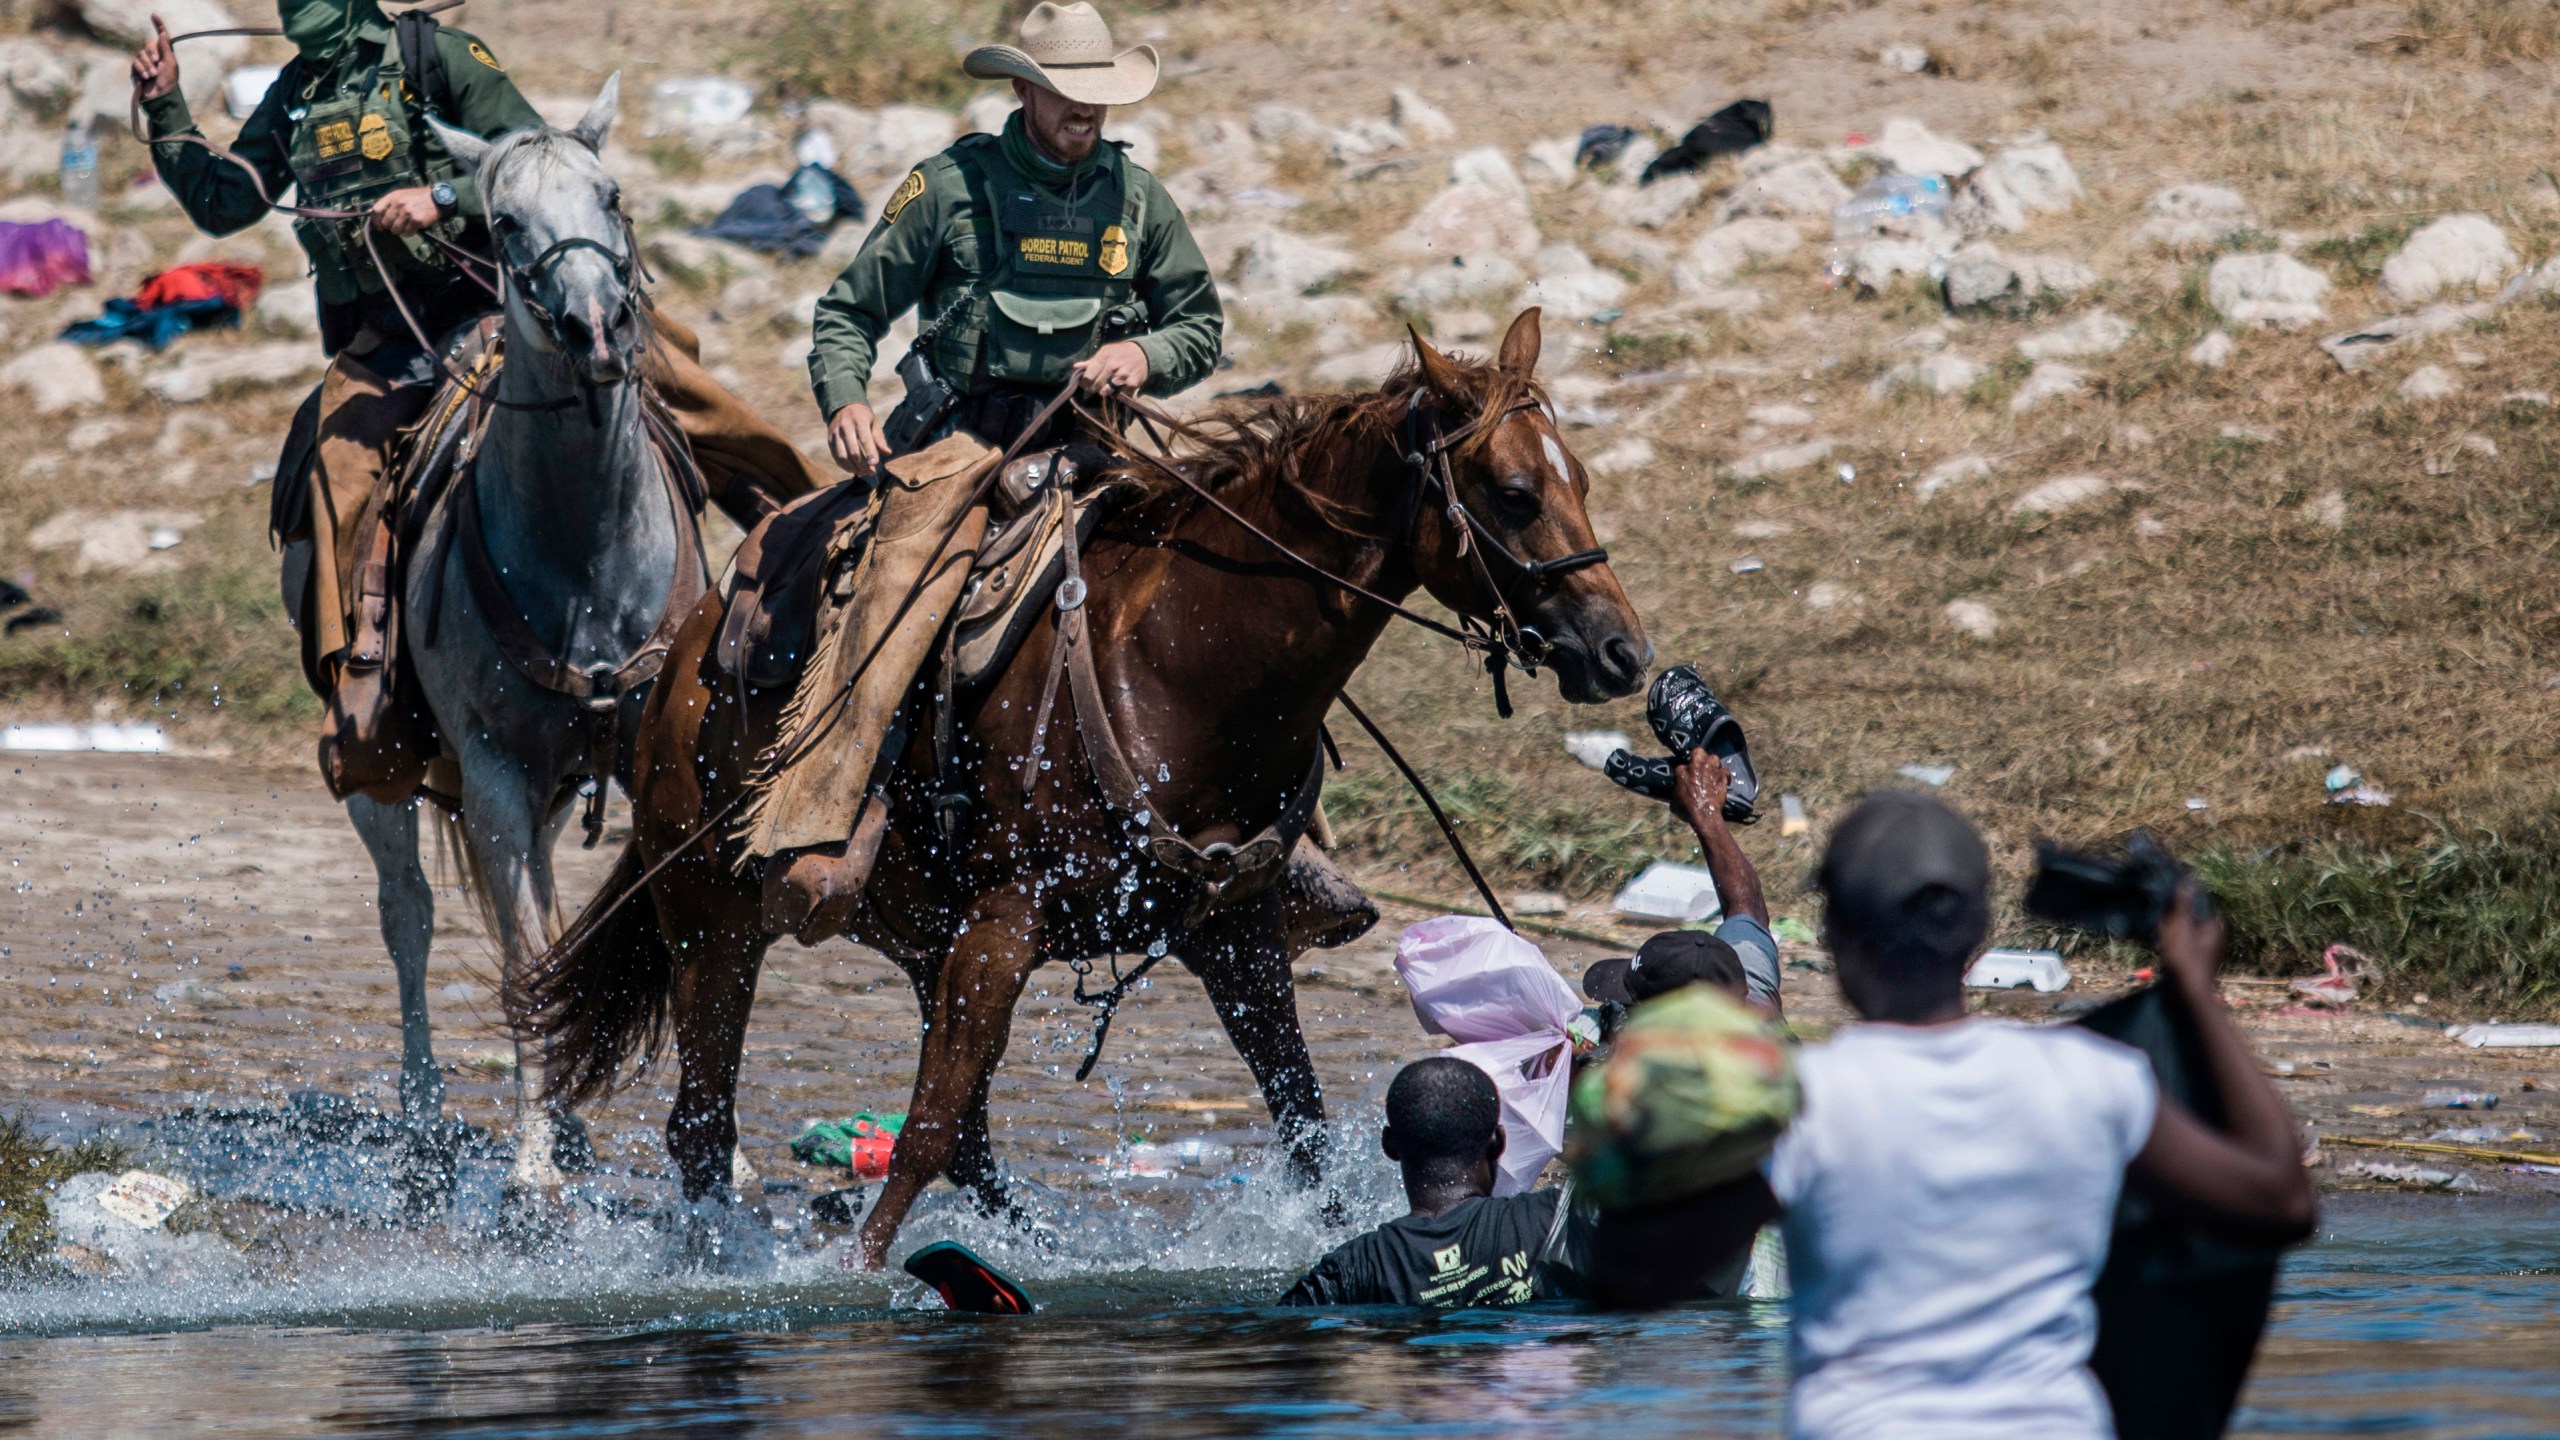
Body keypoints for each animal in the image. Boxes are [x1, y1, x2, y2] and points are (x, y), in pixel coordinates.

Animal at [345, 78, 701, 1199]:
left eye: (611, 194)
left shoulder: (649, 756)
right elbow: (517, 957)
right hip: (386, 773)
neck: (586, 552)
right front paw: (532, 1166)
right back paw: (428, 1119)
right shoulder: (495, 774)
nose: (597, 328)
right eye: (504, 223)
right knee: (409, 915)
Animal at [524, 308, 1638, 1260]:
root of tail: (679, 660)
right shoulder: (1005, 926)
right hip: (710, 918)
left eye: (1582, 478)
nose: (1620, 651)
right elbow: (924, 1129)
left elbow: (1303, 1122)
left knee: (960, 1140)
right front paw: (861, 1271)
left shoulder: (1233, 937)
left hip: (915, 936)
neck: (1183, 666)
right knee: (703, 1124)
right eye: (1513, 494)